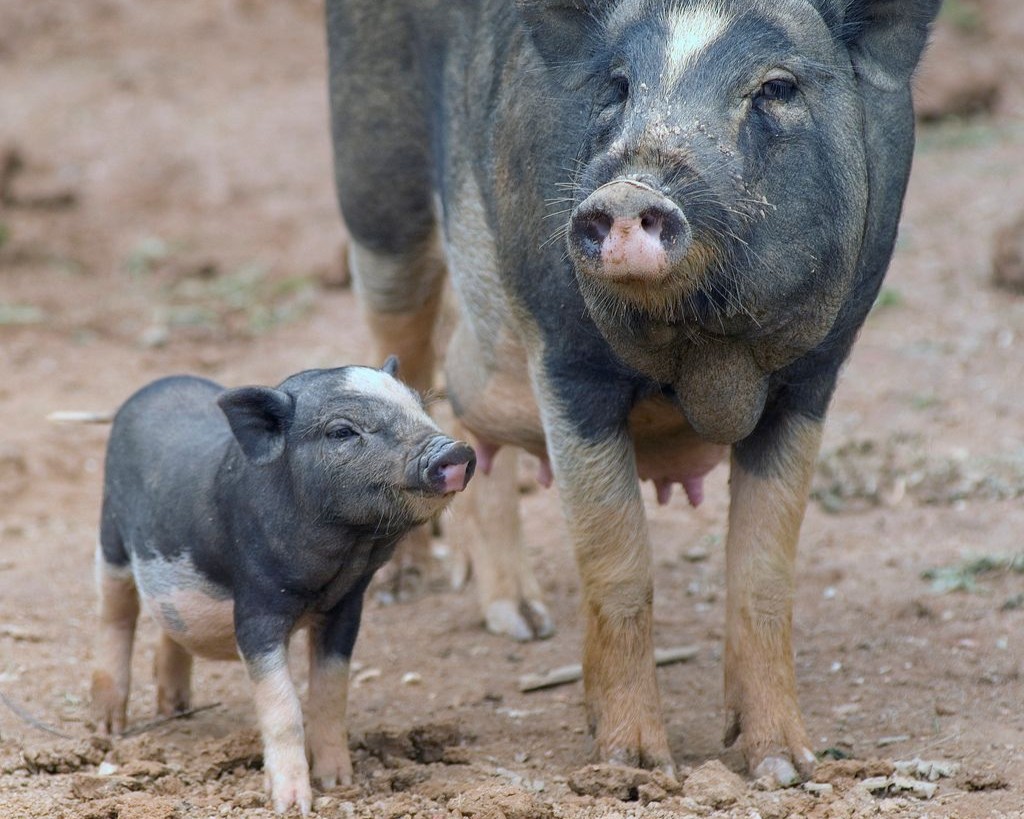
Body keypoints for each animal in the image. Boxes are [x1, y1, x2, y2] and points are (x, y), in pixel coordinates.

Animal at [90, 358, 475, 814]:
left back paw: (178, 708)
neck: (341, 561)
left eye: (420, 405)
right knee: (116, 618)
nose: (455, 452)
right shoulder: (257, 606)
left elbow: (330, 692)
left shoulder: (347, 607)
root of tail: (156, 385)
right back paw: (108, 728)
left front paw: (340, 782)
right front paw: (293, 806)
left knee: (172, 629)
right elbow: (283, 705)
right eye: (342, 431)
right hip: (110, 536)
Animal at [327, 0, 941, 785]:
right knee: (396, 332)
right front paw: (637, 767)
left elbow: (764, 573)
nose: (628, 190)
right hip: (375, 184)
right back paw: (413, 585)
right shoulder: (569, 364)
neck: (707, 354)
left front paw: (785, 766)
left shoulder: (814, 375)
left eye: (777, 87)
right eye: (616, 86)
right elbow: (618, 564)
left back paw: (522, 620)